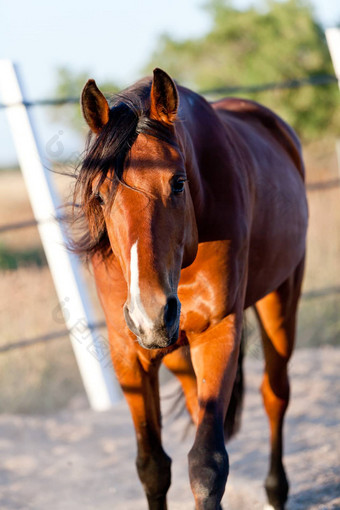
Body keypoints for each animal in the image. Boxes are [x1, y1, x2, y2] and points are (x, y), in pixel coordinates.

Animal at [75, 68, 308, 510]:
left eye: (178, 183)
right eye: (100, 193)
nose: (150, 314)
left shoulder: (218, 332)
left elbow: (206, 465)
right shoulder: (127, 352)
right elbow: (152, 466)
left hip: (281, 299)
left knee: (276, 394)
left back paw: (276, 490)